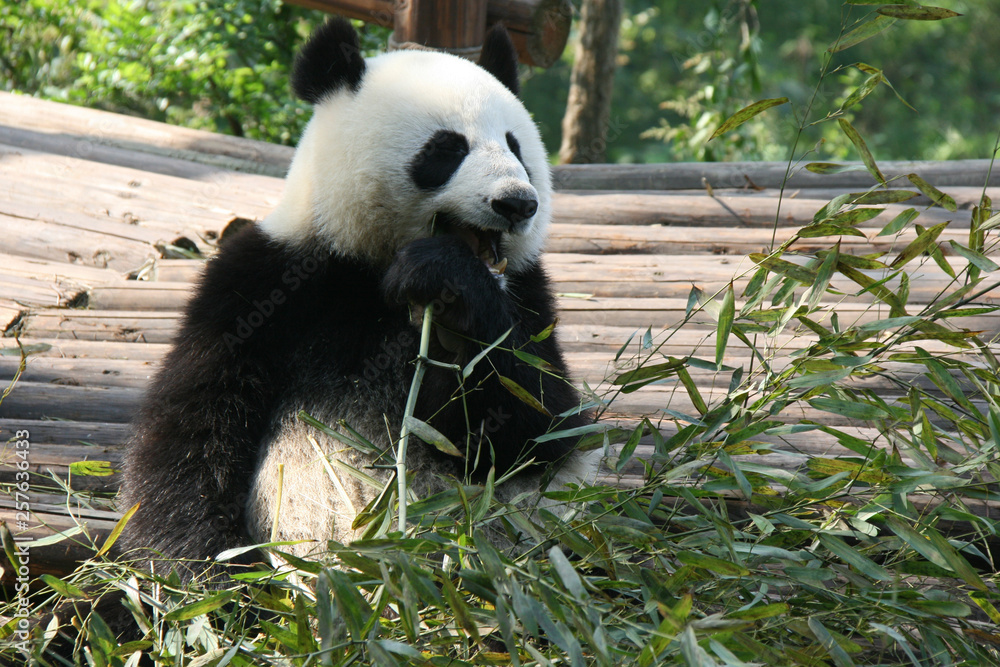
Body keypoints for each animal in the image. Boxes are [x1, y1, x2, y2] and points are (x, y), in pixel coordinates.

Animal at [114, 16, 599, 577]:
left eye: (516, 146)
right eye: (447, 149)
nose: (517, 203)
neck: (371, 269)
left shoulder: (527, 295)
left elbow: (538, 427)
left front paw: (448, 290)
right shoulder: (264, 283)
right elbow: (193, 429)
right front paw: (207, 571)